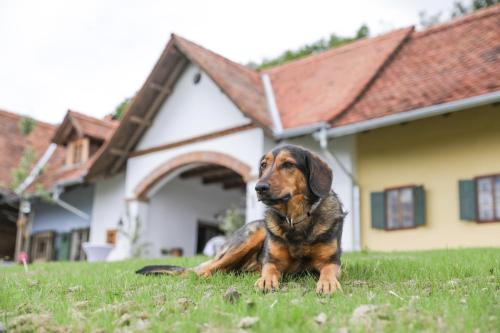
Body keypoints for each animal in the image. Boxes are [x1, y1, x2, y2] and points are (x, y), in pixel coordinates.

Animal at [136, 144, 344, 294]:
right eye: (263, 165)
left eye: (288, 164)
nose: (259, 188)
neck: (294, 219)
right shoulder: (272, 261)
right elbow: (269, 269)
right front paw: (266, 280)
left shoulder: (331, 261)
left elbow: (328, 271)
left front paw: (328, 283)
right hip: (248, 238)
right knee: (201, 271)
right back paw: (205, 276)